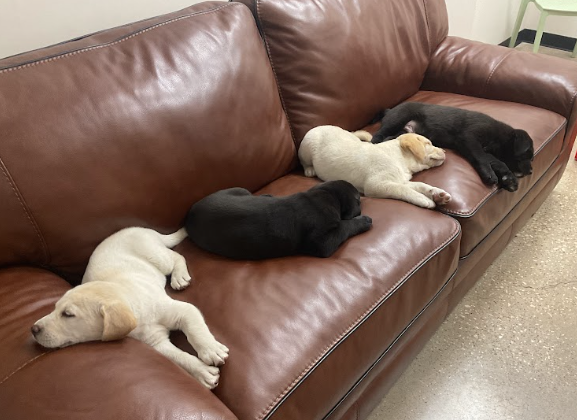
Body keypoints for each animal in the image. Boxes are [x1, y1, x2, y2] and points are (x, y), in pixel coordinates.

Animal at [32, 227, 228, 389]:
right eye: (54, 308)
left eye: (68, 314)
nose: (33, 329)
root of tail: (141, 229)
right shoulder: (156, 343)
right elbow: (179, 358)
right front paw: (202, 372)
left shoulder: (182, 310)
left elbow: (196, 330)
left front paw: (211, 349)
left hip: (157, 256)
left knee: (177, 257)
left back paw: (179, 277)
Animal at [185, 181, 372, 259]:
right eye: (358, 200)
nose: (363, 201)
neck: (326, 194)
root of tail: (189, 215)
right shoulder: (323, 242)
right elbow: (345, 226)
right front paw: (364, 220)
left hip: (239, 189)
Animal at [298, 125, 451, 209]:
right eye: (428, 143)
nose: (445, 151)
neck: (398, 157)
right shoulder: (377, 185)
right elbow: (404, 190)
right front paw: (424, 199)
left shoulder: (400, 180)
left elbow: (420, 185)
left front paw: (437, 194)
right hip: (306, 146)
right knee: (304, 161)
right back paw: (309, 169)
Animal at [370, 102, 535, 192]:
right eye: (528, 155)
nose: (532, 171)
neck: (499, 137)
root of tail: (390, 109)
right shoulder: (469, 139)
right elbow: (482, 158)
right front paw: (490, 174)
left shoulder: (479, 149)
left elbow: (496, 161)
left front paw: (509, 179)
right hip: (398, 118)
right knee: (377, 137)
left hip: (403, 132)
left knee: (390, 139)